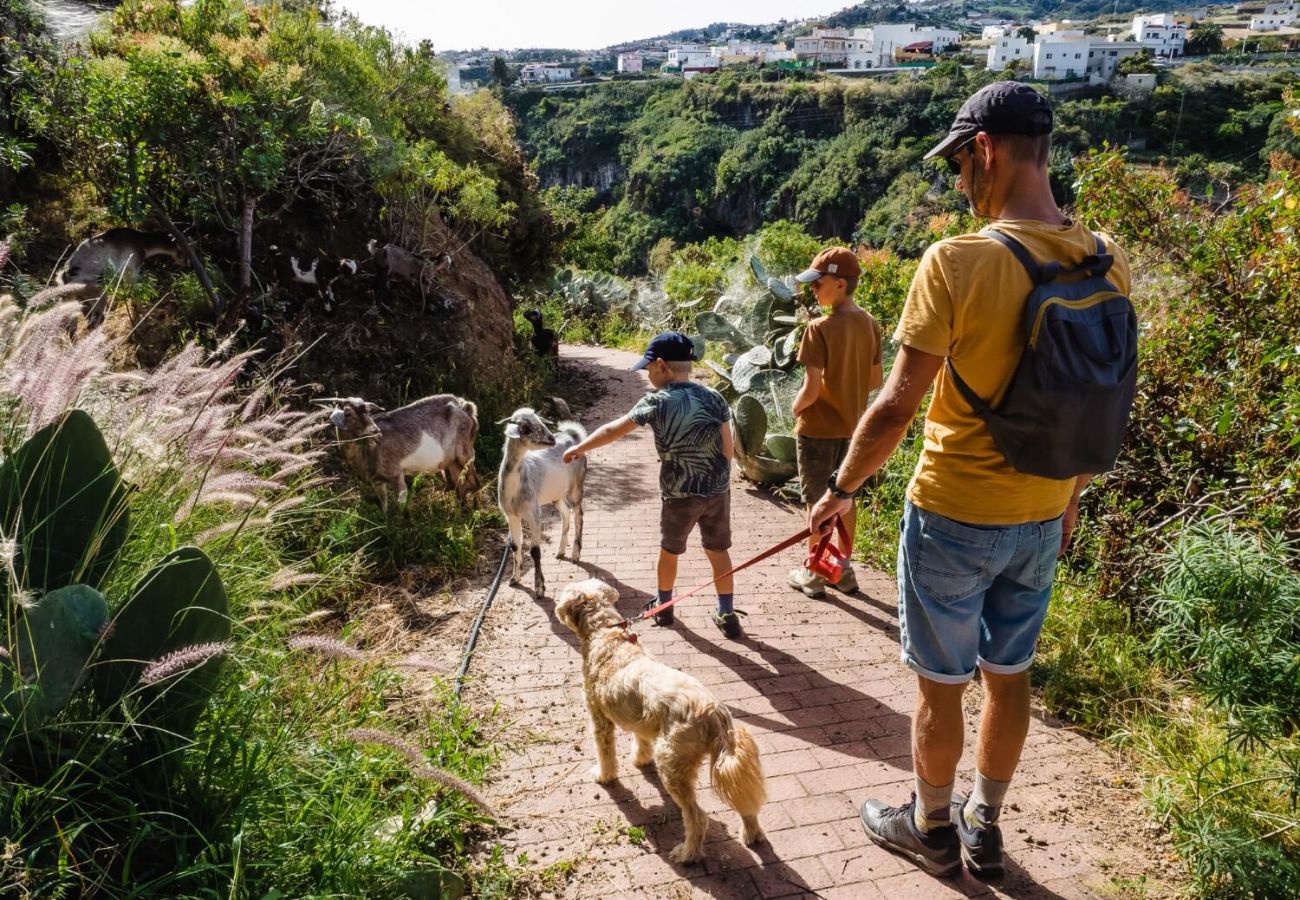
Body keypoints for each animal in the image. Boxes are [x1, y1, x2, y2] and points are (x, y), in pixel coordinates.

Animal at [325, 395, 483, 512]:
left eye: (368, 412)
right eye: (348, 413)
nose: (376, 431)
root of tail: (466, 406)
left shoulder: (397, 475)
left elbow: (401, 505)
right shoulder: (377, 481)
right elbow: (384, 504)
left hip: (466, 453)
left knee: (474, 481)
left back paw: (476, 510)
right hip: (451, 461)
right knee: (459, 484)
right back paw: (464, 511)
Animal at [496, 403, 590, 593]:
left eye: (540, 421)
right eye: (526, 428)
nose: (551, 439)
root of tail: (573, 437)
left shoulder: (533, 513)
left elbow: (535, 552)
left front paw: (540, 587)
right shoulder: (511, 515)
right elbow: (515, 546)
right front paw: (514, 578)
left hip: (576, 487)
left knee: (579, 515)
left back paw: (576, 554)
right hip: (557, 494)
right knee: (566, 514)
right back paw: (560, 551)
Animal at [553, 580, 764, 863]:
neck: (606, 634)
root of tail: (714, 711)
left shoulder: (600, 720)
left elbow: (605, 754)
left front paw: (603, 775)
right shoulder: (641, 718)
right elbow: (641, 742)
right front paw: (641, 760)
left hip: (672, 765)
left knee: (697, 818)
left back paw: (687, 854)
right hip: (726, 764)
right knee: (744, 802)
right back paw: (751, 834)